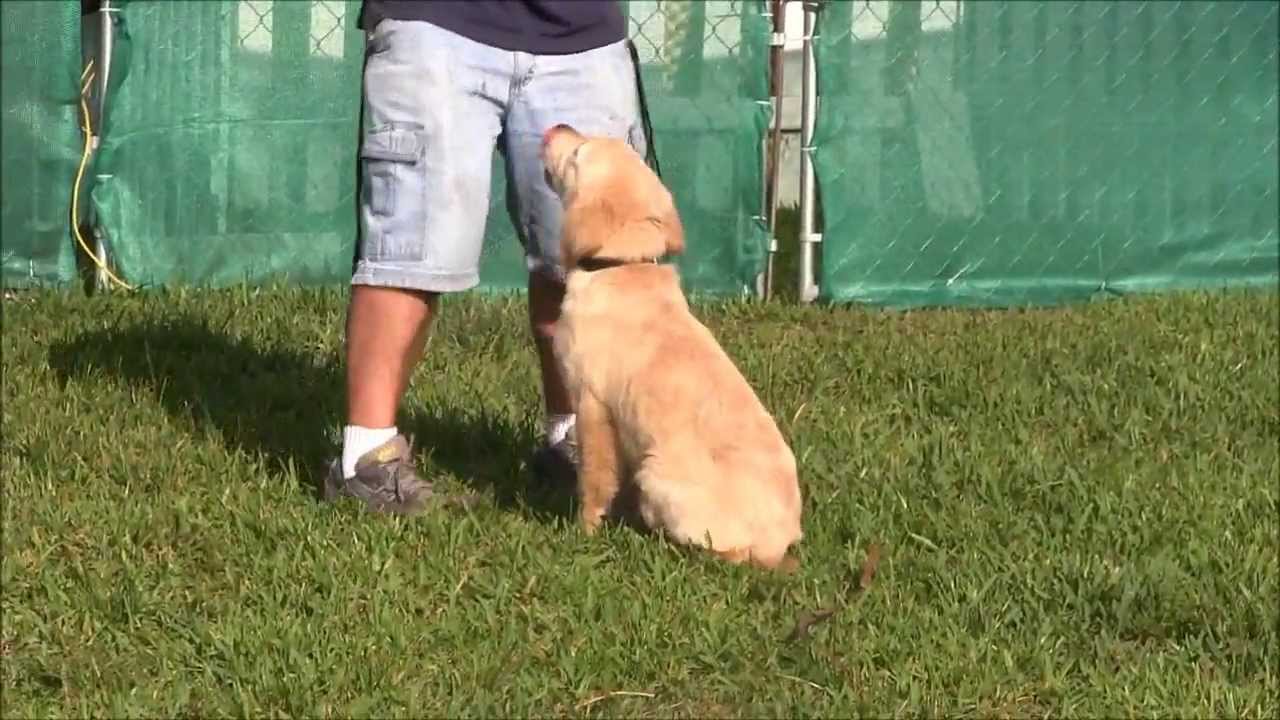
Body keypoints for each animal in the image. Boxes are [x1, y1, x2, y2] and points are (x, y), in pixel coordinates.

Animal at [540, 124, 798, 571]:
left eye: (578, 154)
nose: (556, 127)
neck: (619, 267)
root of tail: (781, 542)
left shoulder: (592, 404)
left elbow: (595, 477)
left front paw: (583, 531)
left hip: (656, 474)